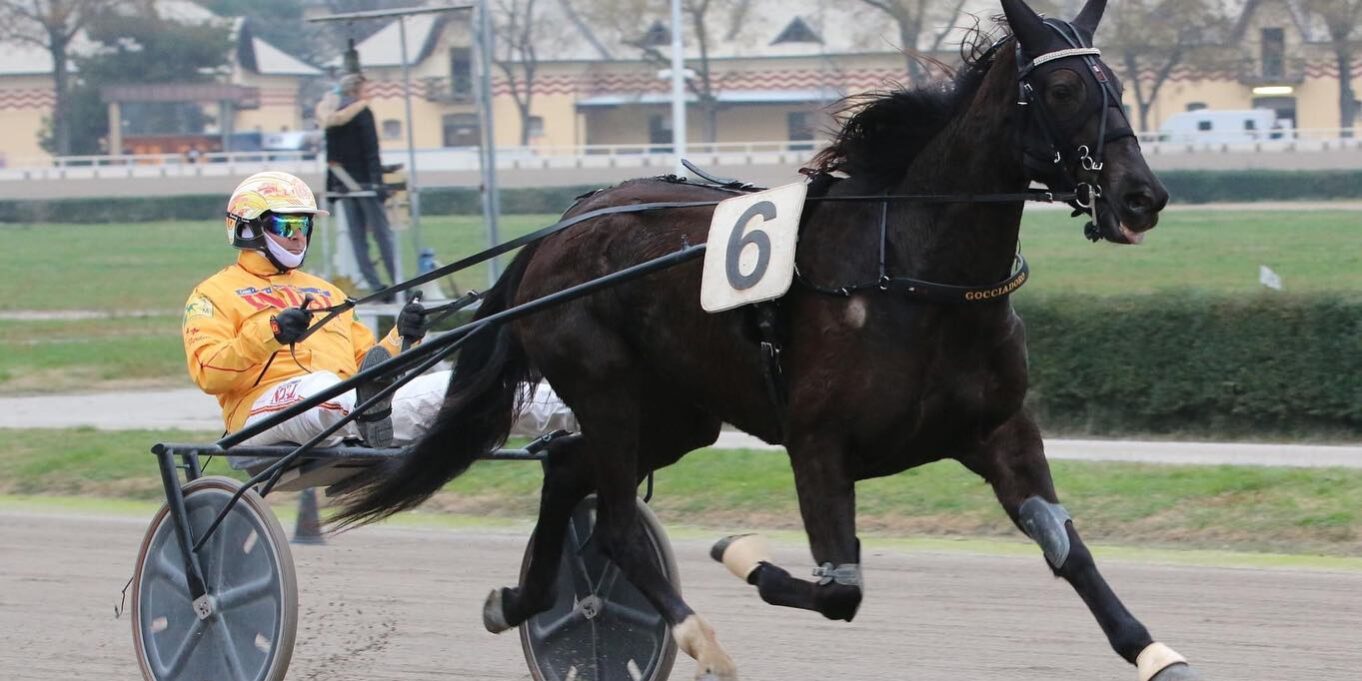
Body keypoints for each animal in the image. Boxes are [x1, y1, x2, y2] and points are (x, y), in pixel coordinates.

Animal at [334, 1, 1195, 679]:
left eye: (1117, 86)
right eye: (1061, 89)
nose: (1142, 196)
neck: (912, 272)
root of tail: (561, 228)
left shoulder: (1000, 428)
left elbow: (1065, 546)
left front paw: (1153, 650)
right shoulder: (818, 440)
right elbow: (841, 588)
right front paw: (739, 550)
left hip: (677, 412)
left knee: (568, 471)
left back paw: (521, 598)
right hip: (608, 388)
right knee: (612, 520)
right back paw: (695, 636)